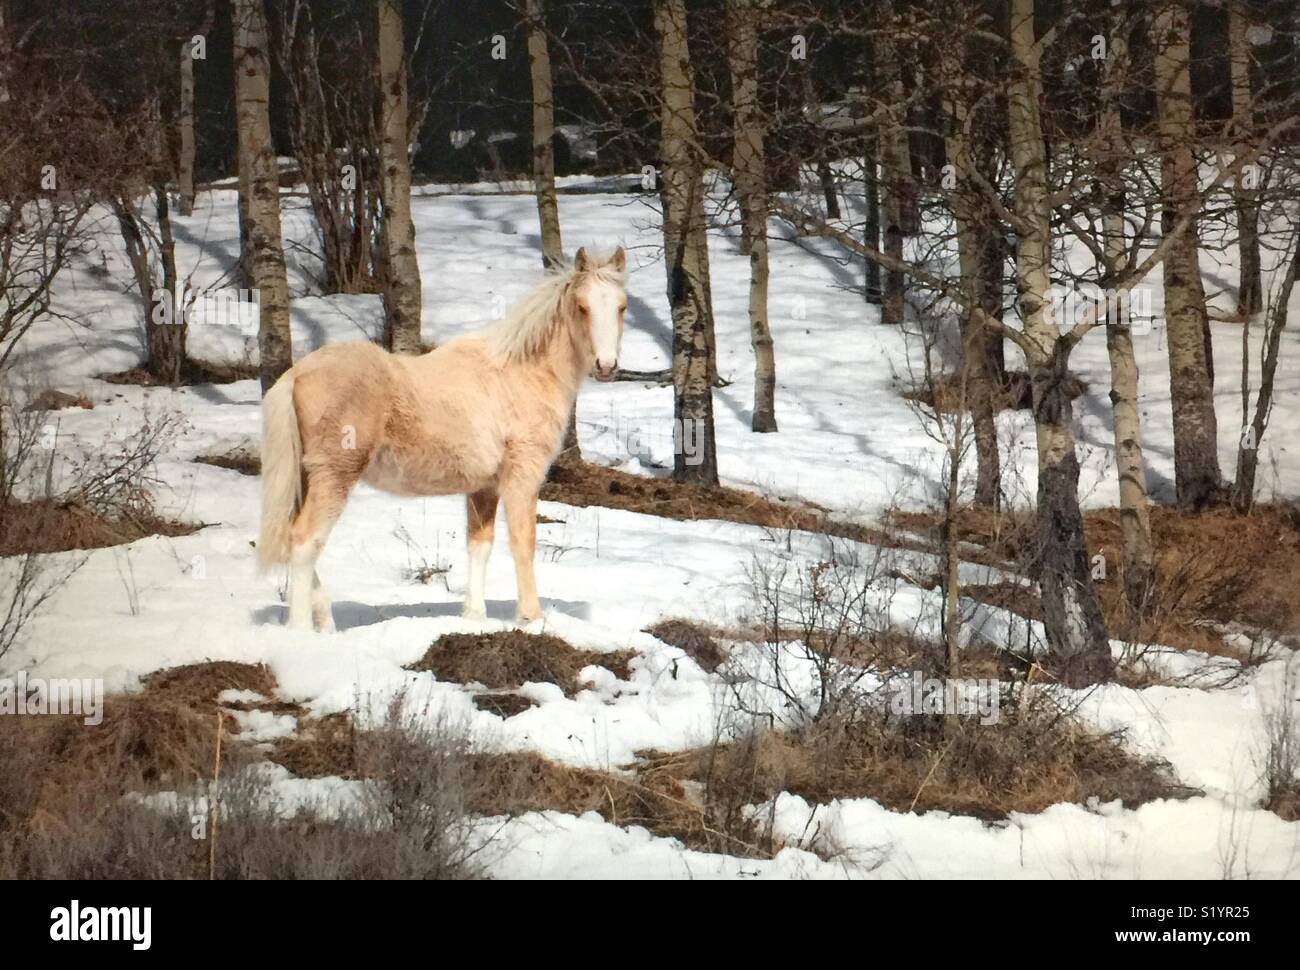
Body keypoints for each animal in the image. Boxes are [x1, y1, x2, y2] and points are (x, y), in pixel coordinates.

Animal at [257, 247, 628, 631]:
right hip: (334, 475)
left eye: (621, 306)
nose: (606, 366)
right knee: (304, 540)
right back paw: (302, 629)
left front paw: (474, 617)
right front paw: (532, 617)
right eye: (582, 307)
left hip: (307, 478)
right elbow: (523, 542)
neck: (521, 373)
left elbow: (479, 545)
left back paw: (326, 621)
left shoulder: (484, 487)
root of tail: (297, 374)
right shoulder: (522, 477)